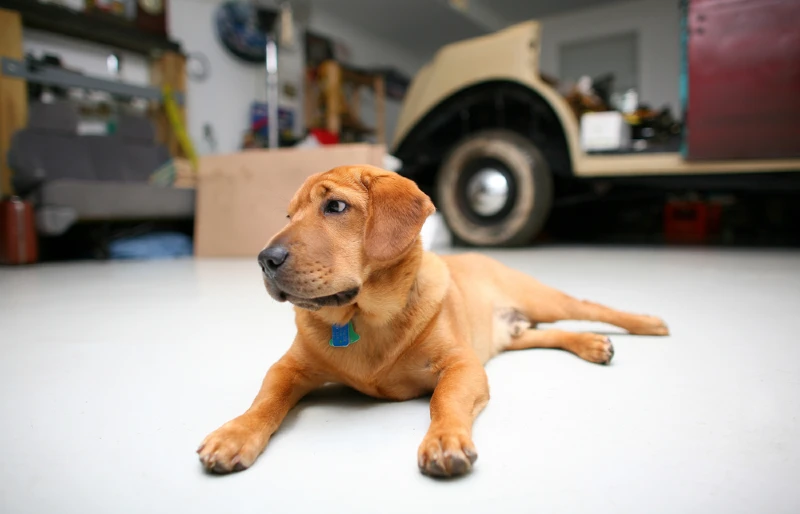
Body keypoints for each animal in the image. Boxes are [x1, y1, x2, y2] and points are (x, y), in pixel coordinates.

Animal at [198, 164, 668, 476]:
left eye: (335, 206)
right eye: (289, 217)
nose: (265, 259)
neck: (364, 319)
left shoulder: (462, 364)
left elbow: (445, 400)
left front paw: (444, 438)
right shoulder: (289, 367)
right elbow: (265, 401)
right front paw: (237, 432)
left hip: (544, 301)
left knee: (591, 308)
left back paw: (646, 323)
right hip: (511, 335)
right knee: (545, 335)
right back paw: (591, 344)